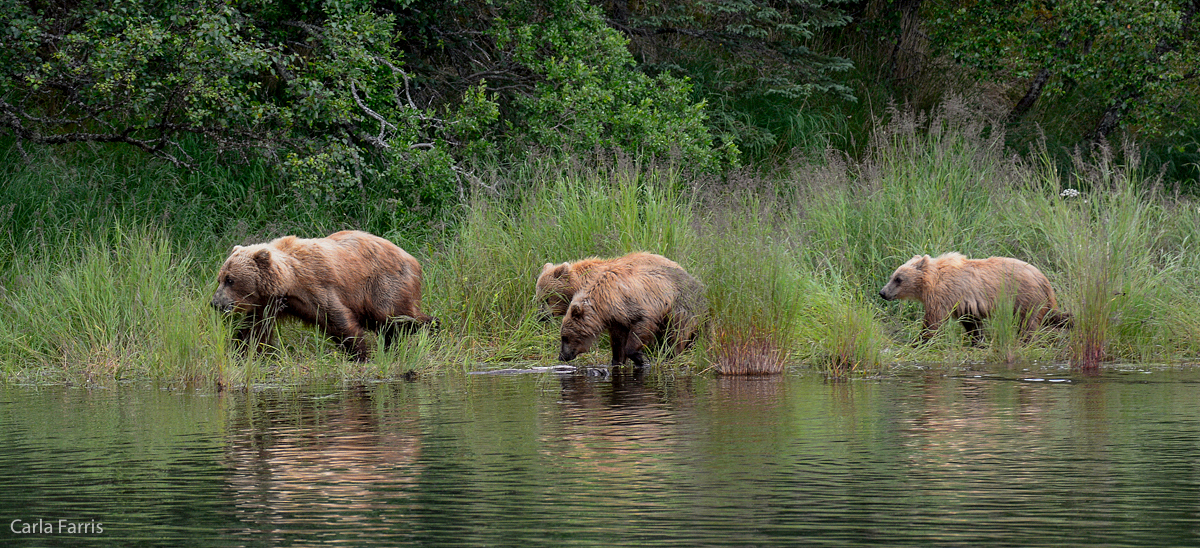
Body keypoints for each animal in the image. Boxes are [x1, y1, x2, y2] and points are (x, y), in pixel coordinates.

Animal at [211, 229, 436, 362]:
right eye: (220, 278)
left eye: (230, 280)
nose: (215, 302)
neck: (289, 282)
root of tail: (412, 259)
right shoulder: (268, 304)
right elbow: (253, 331)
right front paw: (240, 352)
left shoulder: (316, 288)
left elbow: (339, 320)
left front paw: (358, 353)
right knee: (387, 323)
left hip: (382, 284)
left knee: (394, 316)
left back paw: (431, 327)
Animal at [556, 256, 705, 366]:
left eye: (565, 337)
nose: (561, 356)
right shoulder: (616, 319)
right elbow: (618, 340)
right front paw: (617, 360)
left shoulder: (636, 306)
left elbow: (641, 327)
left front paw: (639, 357)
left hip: (681, 305)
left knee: (678, 332)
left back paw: (671, 353)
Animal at [878, 250, 1075, 342]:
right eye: (892, 276)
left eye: (898, 278)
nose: (882, 292)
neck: (932, 281)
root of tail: (1043, 278)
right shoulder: (965, 303)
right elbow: (972, 323)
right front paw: (977, 340)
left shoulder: (945, 296)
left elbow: (933, 321)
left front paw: (920, 340)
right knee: (1051, 316)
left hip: (1025, 296)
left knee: (1029, 323)